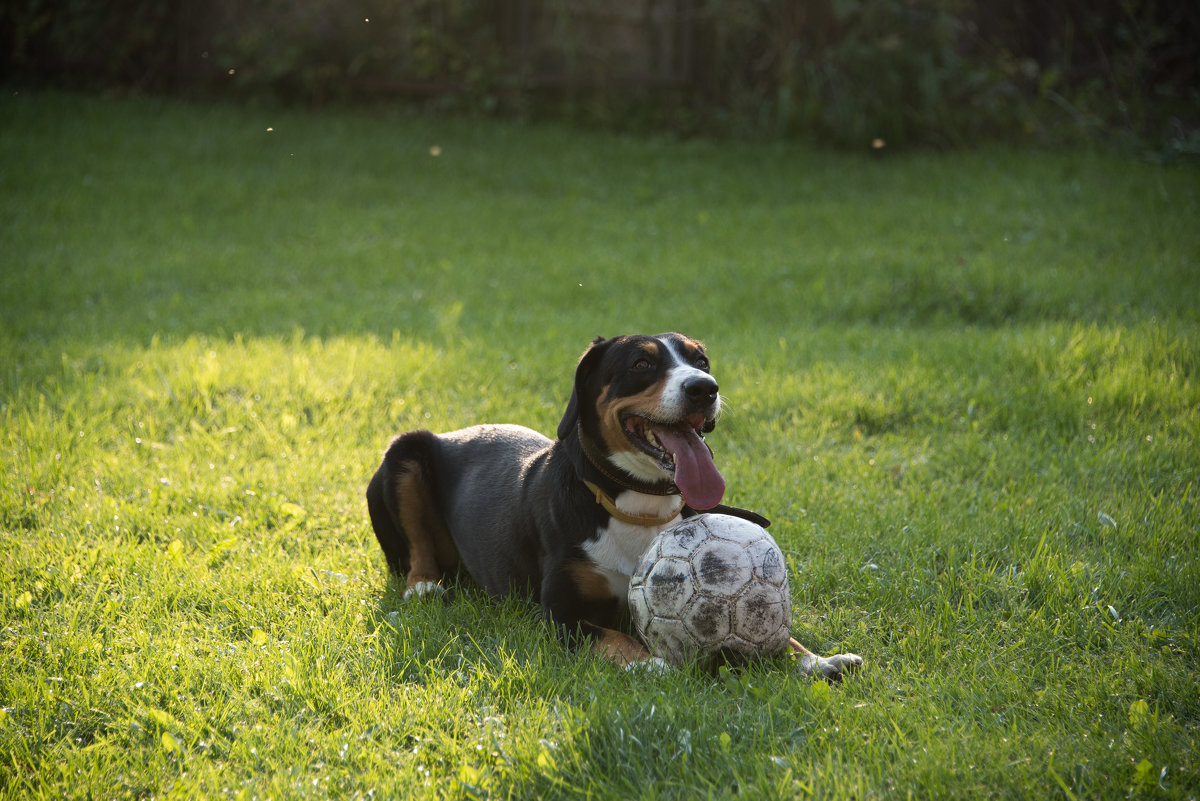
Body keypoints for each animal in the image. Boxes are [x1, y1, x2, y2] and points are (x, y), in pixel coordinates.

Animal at [367, 330, 864, 676]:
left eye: (700, 360)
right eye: (642, 363)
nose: (705, 387)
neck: (638, 507)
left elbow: (779, 632)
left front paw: (815, 659)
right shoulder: (559, 613)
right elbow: (611, 637)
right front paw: (651, 662)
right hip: (405, 451)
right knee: (416, 552)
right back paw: (424, 586)